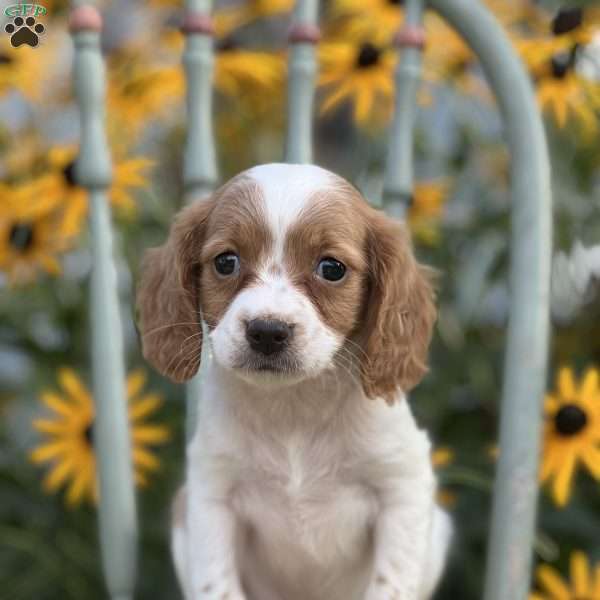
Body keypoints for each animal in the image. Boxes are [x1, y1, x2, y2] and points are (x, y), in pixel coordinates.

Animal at [137, 163, 450, 600]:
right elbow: (218, 585)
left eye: (331, 268)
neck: (293, 405)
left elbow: (391, 583)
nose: (267, 332)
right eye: (226, 262)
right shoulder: (211, 494)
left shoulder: (402, 486)